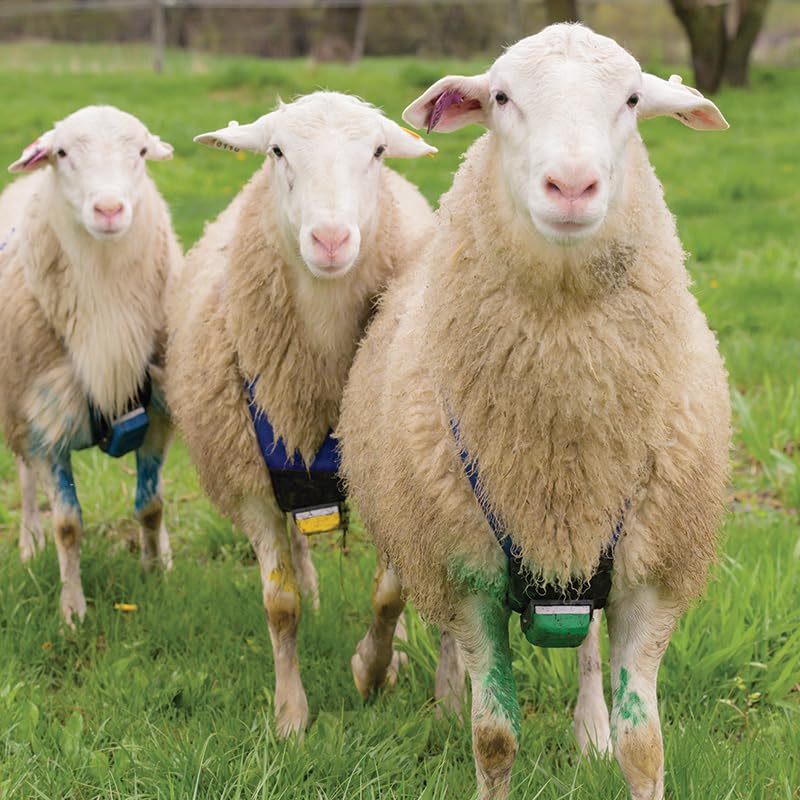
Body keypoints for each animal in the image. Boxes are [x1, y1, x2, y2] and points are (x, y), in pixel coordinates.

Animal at [0, 105, 181, 625]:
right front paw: (73, 610)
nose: (109, 210)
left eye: (140, 151)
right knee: (24, 479)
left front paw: (154, 572)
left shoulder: (157, 412)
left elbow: (151, 505)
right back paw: (29, 541)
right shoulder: (44, 421)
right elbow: (68, 525)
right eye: (61, 153)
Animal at [165, 91, 464, 737]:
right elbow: (280, 606)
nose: (330, 239)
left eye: (377, 151)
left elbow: (390, 593)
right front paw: (290, 716)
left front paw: (373, 671)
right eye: (277, 151)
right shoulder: (251, 483)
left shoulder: (388, 470)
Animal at [338, 24, 730, 800]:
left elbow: (645, 744)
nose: (572, 187)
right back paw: (427, 693)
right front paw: (465, 721)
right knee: (411, 608)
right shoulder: (465, 572)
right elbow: (493, 737)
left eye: (633, 100)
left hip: (587, 554)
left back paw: (589, 729)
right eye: (501, 98)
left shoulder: (652, 572)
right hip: (416, 516)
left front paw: (612, 741)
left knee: (586, 647)